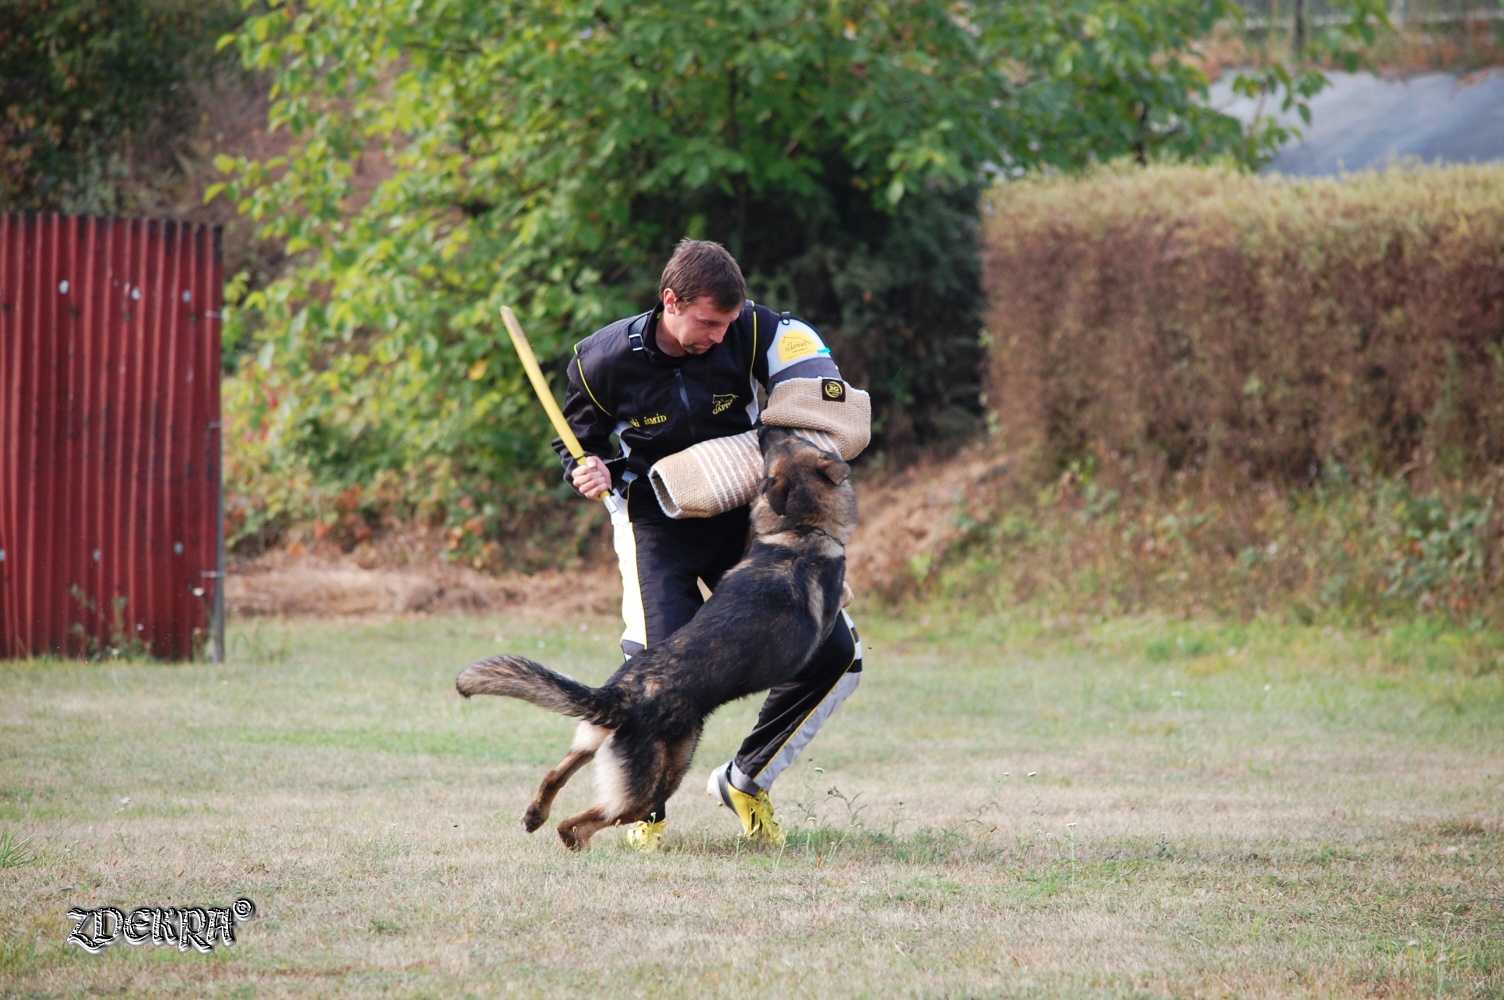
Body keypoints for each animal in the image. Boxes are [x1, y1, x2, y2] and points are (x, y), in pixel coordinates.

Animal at [454, 430, 860, 848]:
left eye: (785, 442)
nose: (764, 429)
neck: (799, 530)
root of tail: (620, 696)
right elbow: (844, 590)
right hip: (661, 777)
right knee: (591, 818)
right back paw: (577, 838)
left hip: (592, 740)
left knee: (555, 776)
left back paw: (536, 815)